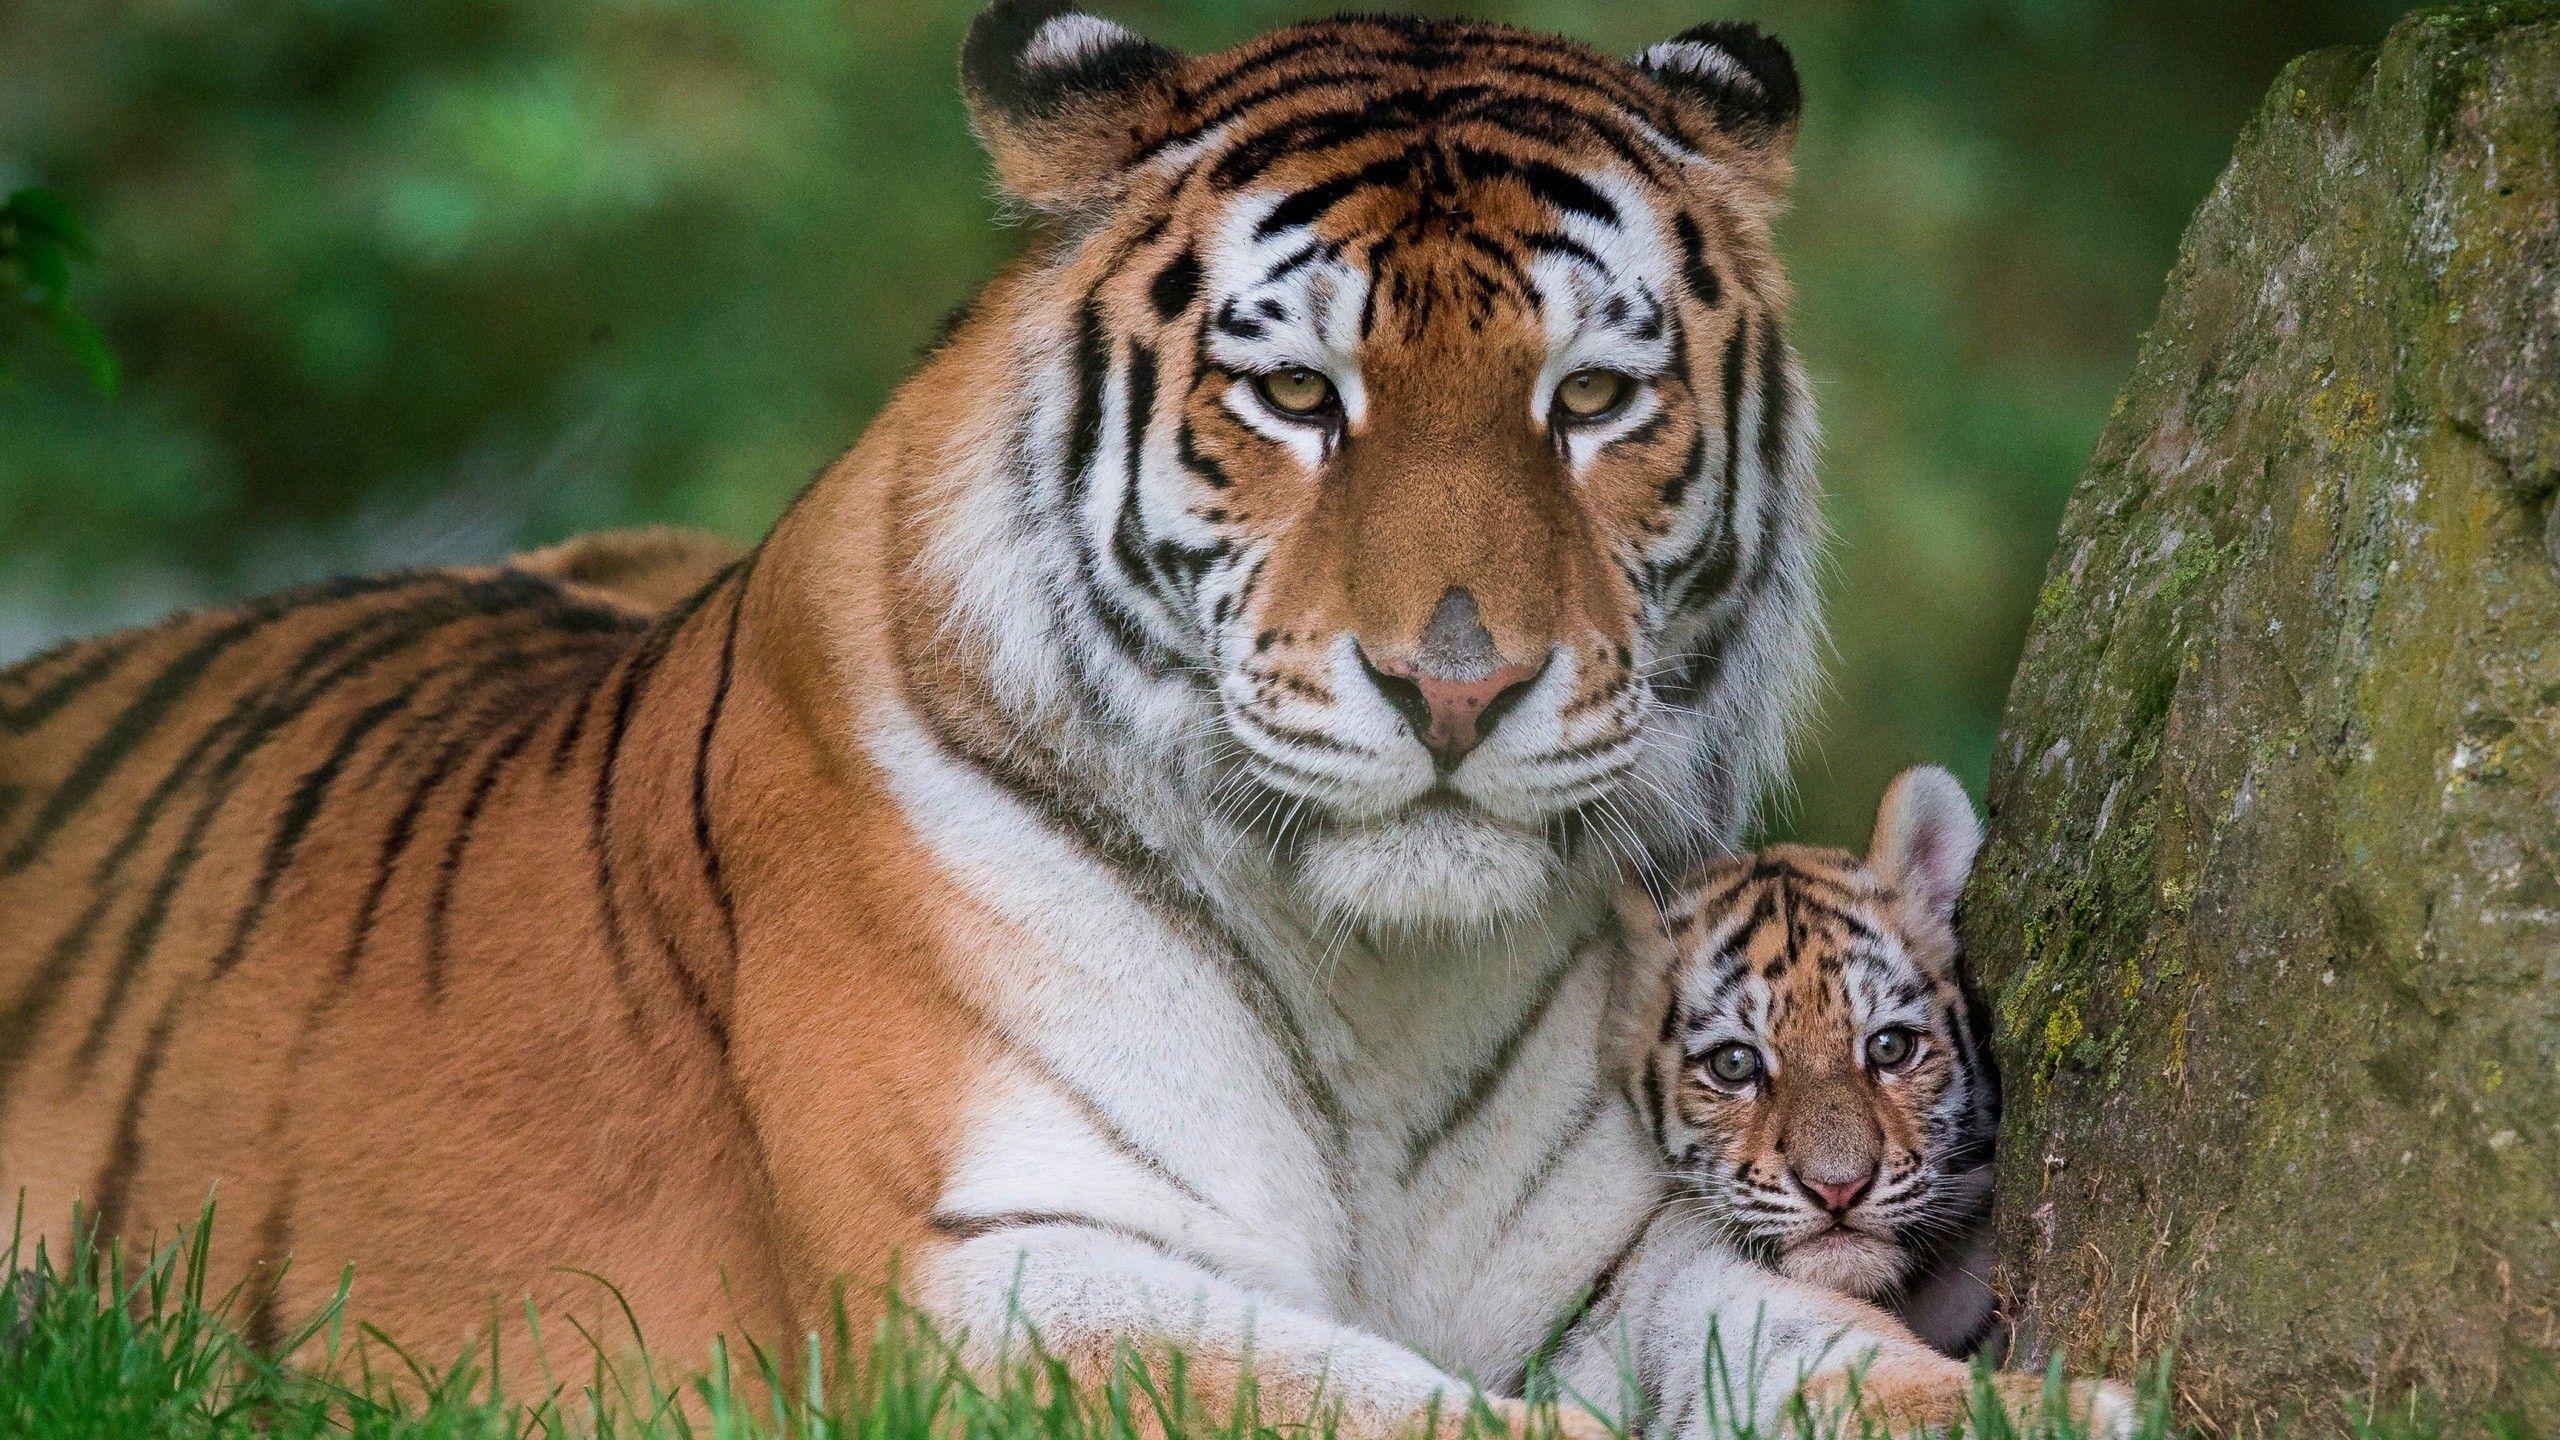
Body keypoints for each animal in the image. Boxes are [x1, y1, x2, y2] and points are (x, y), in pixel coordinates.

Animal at [0, 5, 2129, 1436]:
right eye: (1297, 398)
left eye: (1593, 400)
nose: (1457, 683)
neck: (1380, 980)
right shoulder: (999, 1272)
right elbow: (1401, 1411)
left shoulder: (1627, 1252)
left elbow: (1816, 1343)